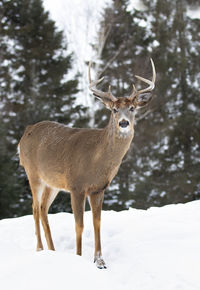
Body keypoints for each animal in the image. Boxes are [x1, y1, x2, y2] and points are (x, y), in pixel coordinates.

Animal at [18, 59, 156, 270]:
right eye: (114, 110)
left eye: (132, 108)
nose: (124, 123)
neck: (96, 160)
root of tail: (25, 134)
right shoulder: (77, 186)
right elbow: (79, 224)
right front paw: (78, 257)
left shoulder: (98, 188)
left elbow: (97, 222)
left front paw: (99, 260)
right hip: (33, 174)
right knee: (34, 208)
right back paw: (40, 249)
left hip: (52, 183)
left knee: (43, 209)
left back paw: (53, 250)